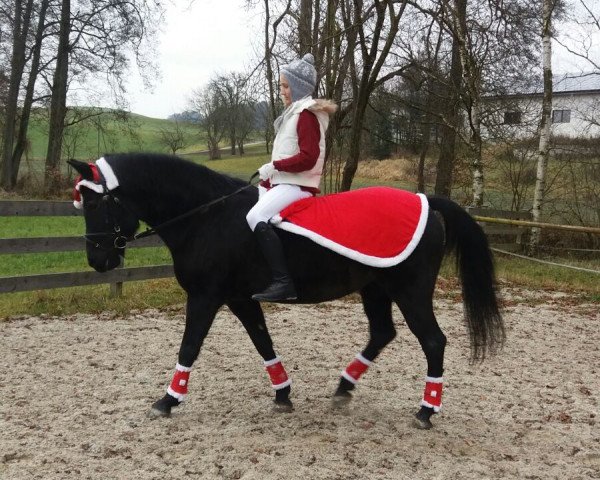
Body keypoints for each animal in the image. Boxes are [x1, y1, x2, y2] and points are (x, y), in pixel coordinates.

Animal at [68, 153, 504, 428]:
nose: (98, 261)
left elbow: (189, 346)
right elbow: (263, 341)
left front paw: (167, 401)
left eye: (96, 205)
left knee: (433, 341)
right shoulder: (239, 299)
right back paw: (343, 388)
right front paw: (283, 395)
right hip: (375, 288)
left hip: (410, 291)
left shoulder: (206, 296)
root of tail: (425, 199)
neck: (208, 216)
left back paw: (426, 411)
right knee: (382, 332)